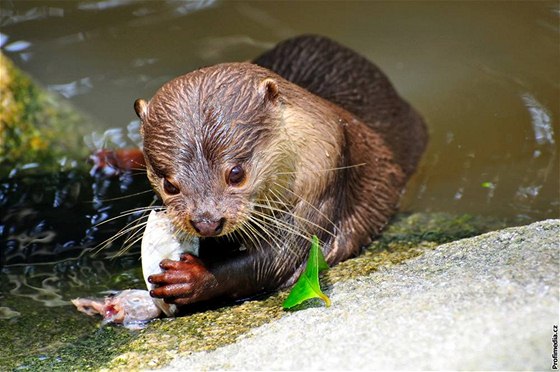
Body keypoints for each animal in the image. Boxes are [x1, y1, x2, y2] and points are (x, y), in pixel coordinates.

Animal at [132, 35, 428, 306]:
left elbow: (274, 261)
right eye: (170, 185)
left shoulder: (321, 181)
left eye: (236, 173)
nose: (207, 222)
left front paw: (191, 277)